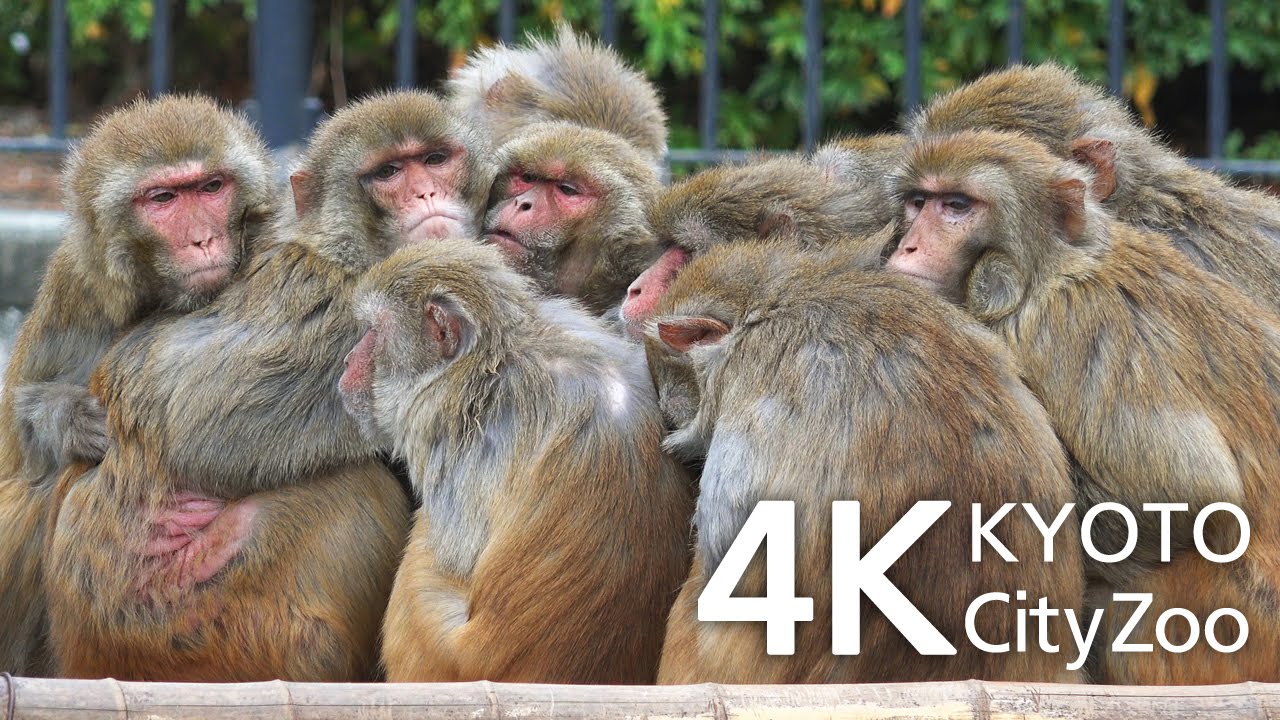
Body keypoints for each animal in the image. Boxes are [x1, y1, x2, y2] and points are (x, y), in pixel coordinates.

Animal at [0, 95, 279, 676]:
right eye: (164, 198)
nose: (204, 240)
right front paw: (71, 420)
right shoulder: (77, 291)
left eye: (211, 187)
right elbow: (21, 434)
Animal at [42, 89, 490, 680]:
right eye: (390, 172)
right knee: (353, 486)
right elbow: (199, 423)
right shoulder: (344, 316)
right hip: (209, 623)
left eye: (436, 160)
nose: (427, 193)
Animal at [886, 128, 1280, 683]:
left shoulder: (1061, 323)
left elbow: (1188, 491)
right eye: (919, 202)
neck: (1049, 269)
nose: (908, 244)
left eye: (957, 206)